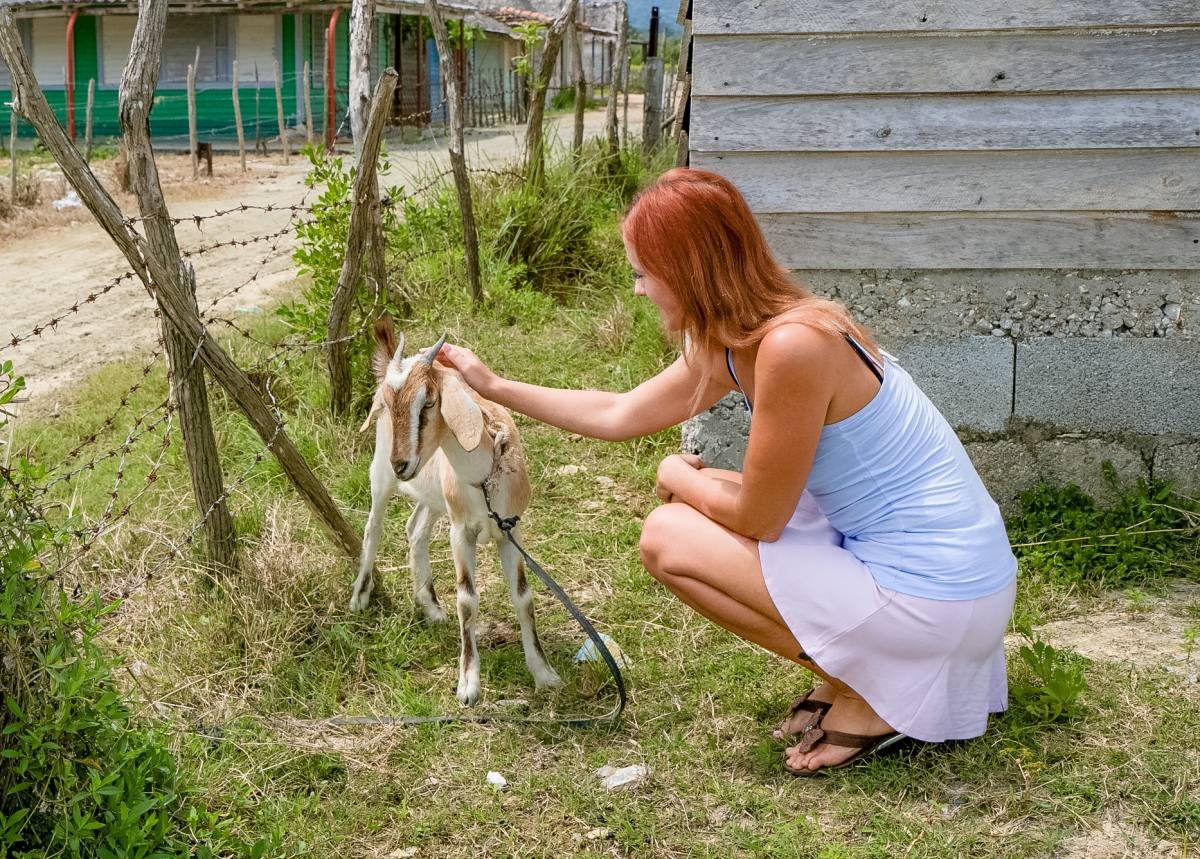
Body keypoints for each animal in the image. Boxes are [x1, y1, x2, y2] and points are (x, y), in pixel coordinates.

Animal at [350, 314, 559, 705]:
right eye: (387, 402)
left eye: (429, 401)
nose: (402, 464)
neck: (484, 480)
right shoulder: (461, 532)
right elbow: (467, 599)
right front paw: (468, 685)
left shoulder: (510, 530)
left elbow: (523, 597)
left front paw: (544, 674)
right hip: (380, 478)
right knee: (373, 530)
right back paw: (359, 598)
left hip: (433, 496)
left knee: (415, 529)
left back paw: (431, 608)